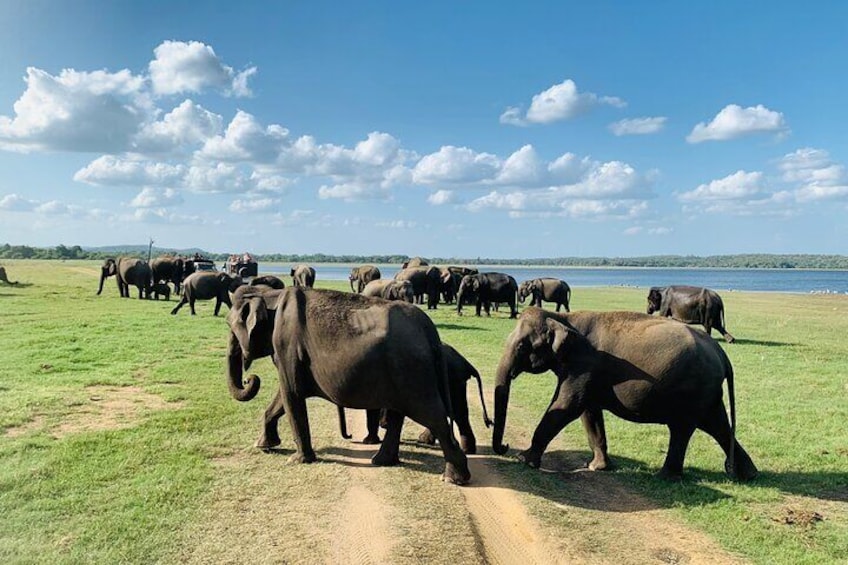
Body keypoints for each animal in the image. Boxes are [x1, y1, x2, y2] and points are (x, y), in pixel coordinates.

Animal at [224, 286, 470, 484]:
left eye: (230, 326)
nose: (249, 379)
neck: (270, 295)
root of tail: (430, 331)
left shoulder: (286, 345)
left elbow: (291, 393)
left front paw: (297, 460)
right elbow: (283, 397)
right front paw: (264, 445)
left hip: (412, 370)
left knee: (433, 415)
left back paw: (453, 478)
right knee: (401, 413)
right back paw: (381, 461)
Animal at [494, 306, 760, 482]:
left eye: (522, 346)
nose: (506, 447)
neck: (564, 319)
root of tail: (722, 354)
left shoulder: (584, 364)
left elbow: (567, 405)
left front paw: (524, 460)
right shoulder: (588, 373)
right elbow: (589, 412)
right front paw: (597, 467)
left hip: (693, 389)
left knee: (683, 429)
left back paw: (664, 476)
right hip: (707, 393)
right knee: (718, 426)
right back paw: (748, 474)